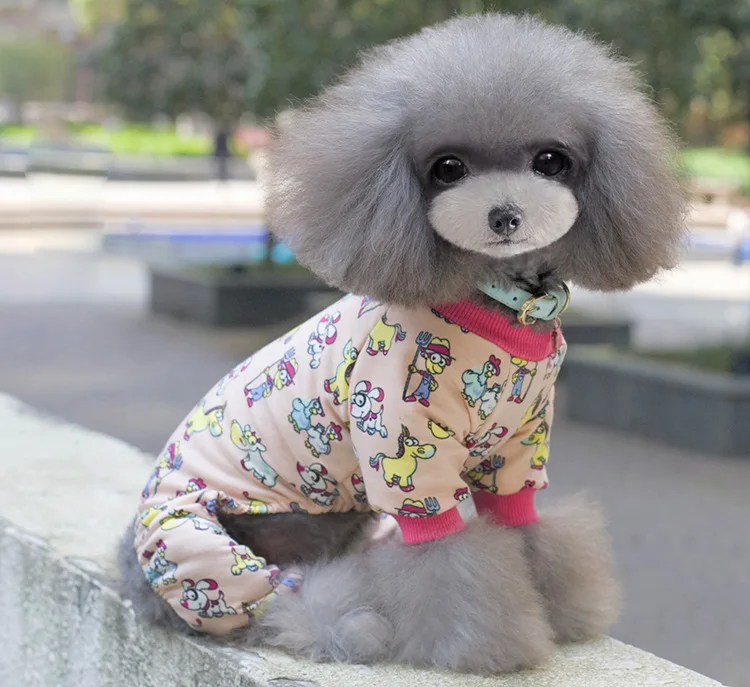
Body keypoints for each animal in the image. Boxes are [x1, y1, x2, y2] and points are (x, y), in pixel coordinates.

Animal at [118, 13, 686, 673]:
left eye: (551, 160)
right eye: (448, 167)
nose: (505, 216)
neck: (503, 305)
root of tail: (132, 571)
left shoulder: (520, 445)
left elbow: (523, 526)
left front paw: (562, 608)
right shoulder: (406, 444)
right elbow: (447, 560)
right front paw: (491, 644)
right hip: (198, 547)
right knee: (282, 605)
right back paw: (356, 625)